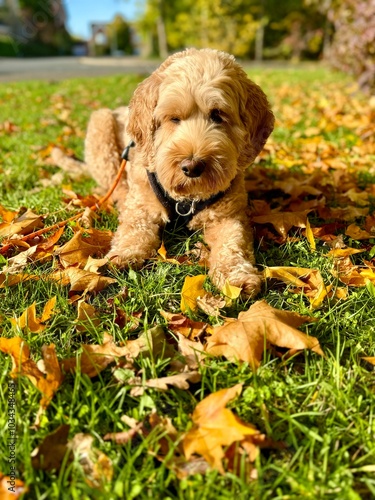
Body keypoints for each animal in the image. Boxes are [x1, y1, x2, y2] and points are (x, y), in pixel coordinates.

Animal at [52, 48, 274, 294]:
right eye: (173, 118)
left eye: (218, 115)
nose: (192, 167)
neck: (186, 198)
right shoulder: (141, 206)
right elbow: (134, 230)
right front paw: (124, 253)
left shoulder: (228, 217)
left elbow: (232, 245)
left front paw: (236, 276)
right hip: (101, 125)